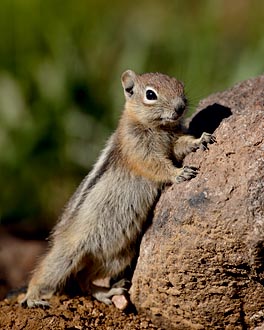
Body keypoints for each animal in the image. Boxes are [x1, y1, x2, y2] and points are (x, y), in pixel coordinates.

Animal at [20, 70, 214, 310]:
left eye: (180, 86)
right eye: (150, 94)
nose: (180, 107)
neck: (158, 128)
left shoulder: (172, 143)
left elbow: (181, 146)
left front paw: (200, 139)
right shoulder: (138, 149)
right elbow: (155, 165)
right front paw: (178, 174)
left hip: (117, 257)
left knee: (84, 280)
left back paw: (108, 292)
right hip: (66, 256)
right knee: (46, 272)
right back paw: (33, 297)